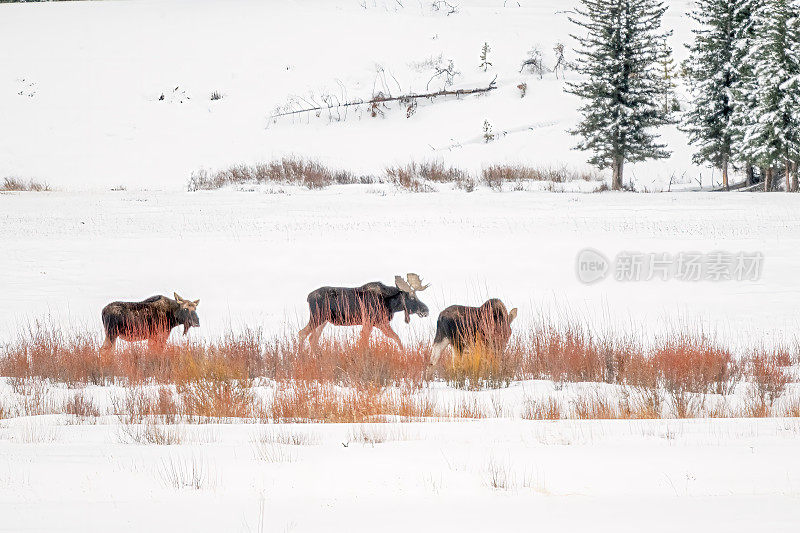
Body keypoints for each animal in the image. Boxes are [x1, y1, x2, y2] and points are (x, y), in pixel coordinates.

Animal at [296, 272, 428, 352]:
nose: (426, 310)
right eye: (412, 297)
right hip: (317, 317)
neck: (389, 304)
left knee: (313, 338)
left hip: (323, 320)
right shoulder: (369, 321)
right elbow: (364, 340)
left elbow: (396, 338)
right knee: (302, 333)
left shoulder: (380, 323)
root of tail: (308, 297)